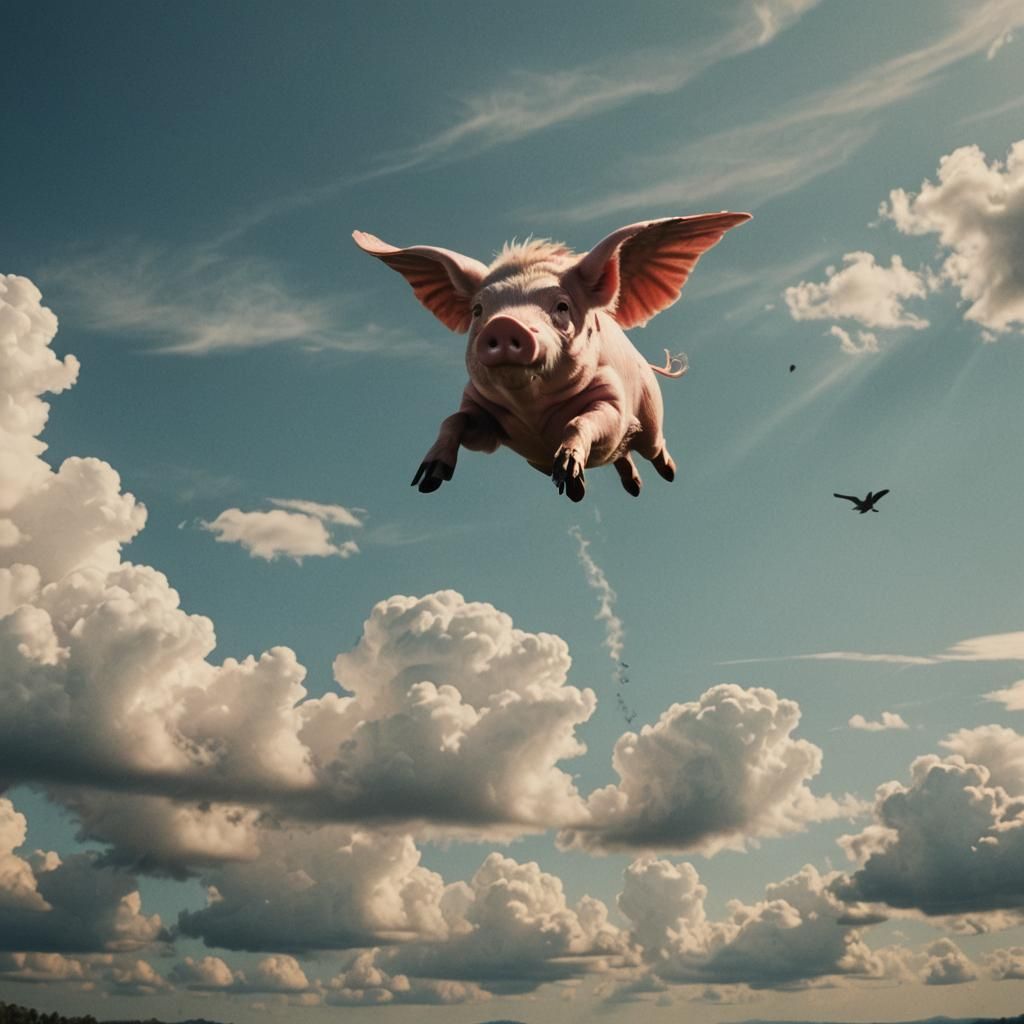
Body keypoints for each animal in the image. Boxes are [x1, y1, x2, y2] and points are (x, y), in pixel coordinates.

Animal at [353, 213, 750, 501]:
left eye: (561, 307)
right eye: (479, 310)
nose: (505, 324)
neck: (533, 410)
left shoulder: (611, 402)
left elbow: (581, 421)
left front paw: (567, 468)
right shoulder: (487, 419)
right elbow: (453, 419)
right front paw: (426, 480)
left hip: (650, 413)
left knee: (650, 445)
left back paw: (666, 474)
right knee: (623, 456)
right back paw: (604, 491)